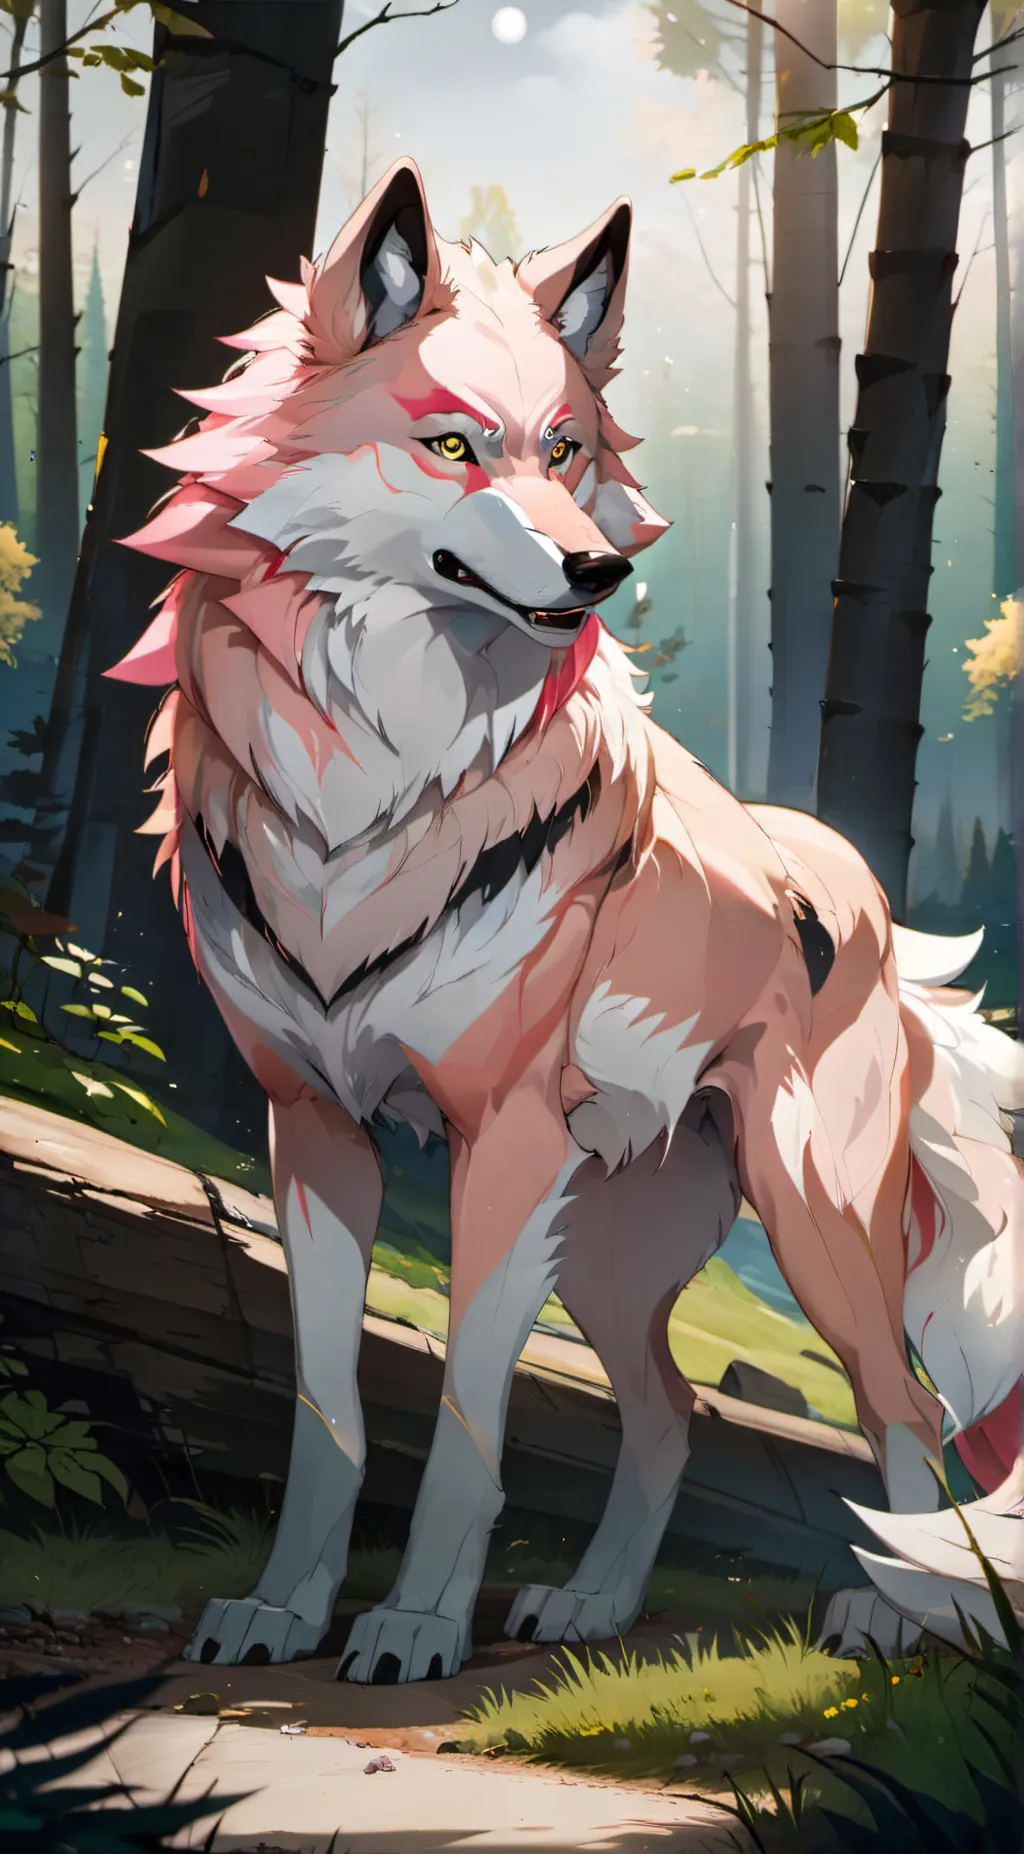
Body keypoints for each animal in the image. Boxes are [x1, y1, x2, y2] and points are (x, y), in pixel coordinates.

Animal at [110, 160, 1024, 1682]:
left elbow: (467, 1425)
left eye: (568, 448)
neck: (373, 783)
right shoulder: (313, 1132)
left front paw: (415, 1626)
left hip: (807, 1221)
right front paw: (286, 1612)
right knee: (673, 1413)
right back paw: (595, 1604)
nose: (596, 572)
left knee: (898, 1414)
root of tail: (856, 886)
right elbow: (328, 1414)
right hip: (608, 1248)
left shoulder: (502, 1142)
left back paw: (896, 1614)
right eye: (455, 448)